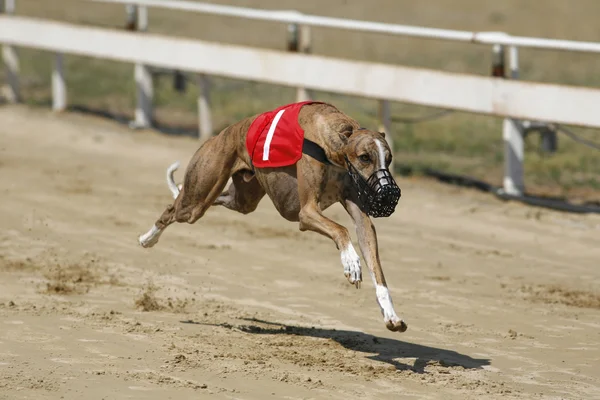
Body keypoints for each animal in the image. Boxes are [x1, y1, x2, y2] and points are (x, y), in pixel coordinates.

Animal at [138, 101, 406, 332]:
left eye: (389, 159)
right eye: (365, 157)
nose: (388, 194)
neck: (332, 141)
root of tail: (222, 134)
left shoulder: (360, 214)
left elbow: (374, 262)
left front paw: (391, 315)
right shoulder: (306, 212)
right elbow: (340, 229)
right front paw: (351, 262)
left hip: (242, 198)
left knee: (207, 197)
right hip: (197, 199)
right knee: (173, 209)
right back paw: (147, 238)